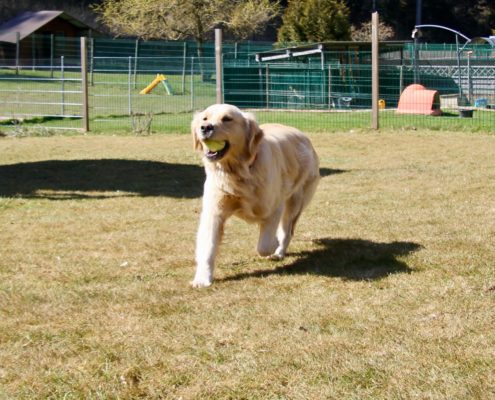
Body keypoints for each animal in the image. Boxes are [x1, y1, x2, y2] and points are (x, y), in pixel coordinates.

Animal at [190, 104, 322, 288]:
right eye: (205, 118)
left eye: (227, 119)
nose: (205, 128)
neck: (239, 172)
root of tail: (303, 136)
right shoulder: (214, 212)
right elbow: (208, 246)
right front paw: (202, 279)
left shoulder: (274, 208)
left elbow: (264, 246)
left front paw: (273, 244)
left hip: (295, 202)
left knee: (287, 231)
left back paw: (279, 252)